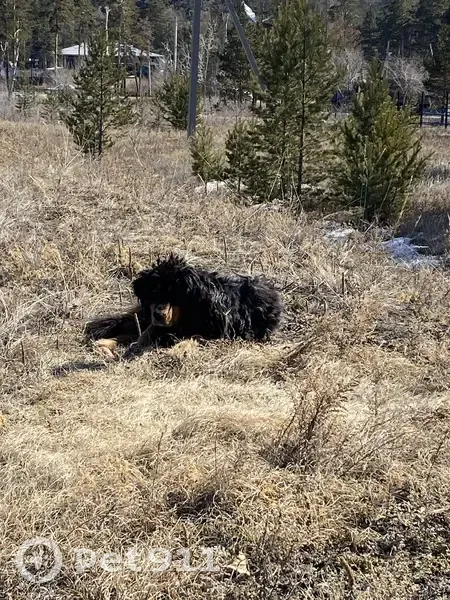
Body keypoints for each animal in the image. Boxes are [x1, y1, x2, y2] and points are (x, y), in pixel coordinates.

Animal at [85, 253, 283, 359]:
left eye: (176, 295)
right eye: (153, 291)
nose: (158, 314)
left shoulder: (216, 333)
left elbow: (193, 337)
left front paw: (179, 349)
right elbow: (143, 335)